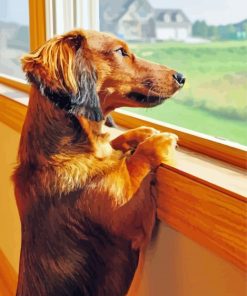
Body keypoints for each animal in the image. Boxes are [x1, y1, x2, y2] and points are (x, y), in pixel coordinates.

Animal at [12, 30, 184, 296]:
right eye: (121, 51)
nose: (181, 77)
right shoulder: (129, 211)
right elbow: (136, 163)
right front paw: (157, 141)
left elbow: (116, 143)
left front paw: (141, 132)